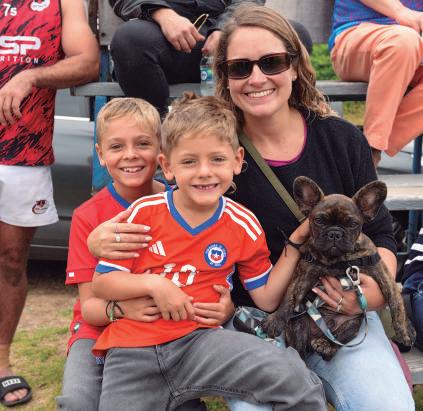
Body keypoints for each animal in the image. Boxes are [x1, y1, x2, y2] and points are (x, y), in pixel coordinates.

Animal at [263, 176, 415, 361]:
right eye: (319, 220)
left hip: (352, 324)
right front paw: (275, 320)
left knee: (338, 341)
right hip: (297, 323)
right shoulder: (303, 276)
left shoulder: (383, 275)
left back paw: (326, 345)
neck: (339, 260)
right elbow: (289, 297)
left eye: (353, 223)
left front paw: (405, 330)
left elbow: (396, 302)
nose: (334, 233)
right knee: (300, 349)